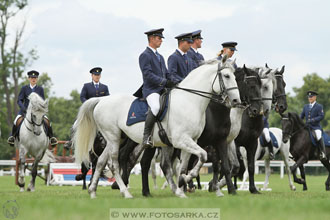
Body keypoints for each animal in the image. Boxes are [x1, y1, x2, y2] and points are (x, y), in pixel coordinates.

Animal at [73, 57, 241, 199]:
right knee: (114, 164)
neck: (189, 101)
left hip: (114, 139)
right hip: (113, 137)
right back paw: (126, 192)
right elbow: (202, 156)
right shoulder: (181, 140)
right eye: (226, 76)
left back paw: (93, 191)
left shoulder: (191, 140)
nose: (236, 101)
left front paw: (181, 187)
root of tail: (101, 100)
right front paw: (186, 181)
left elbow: (184, 166)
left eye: (235, 76)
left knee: (101, 161)